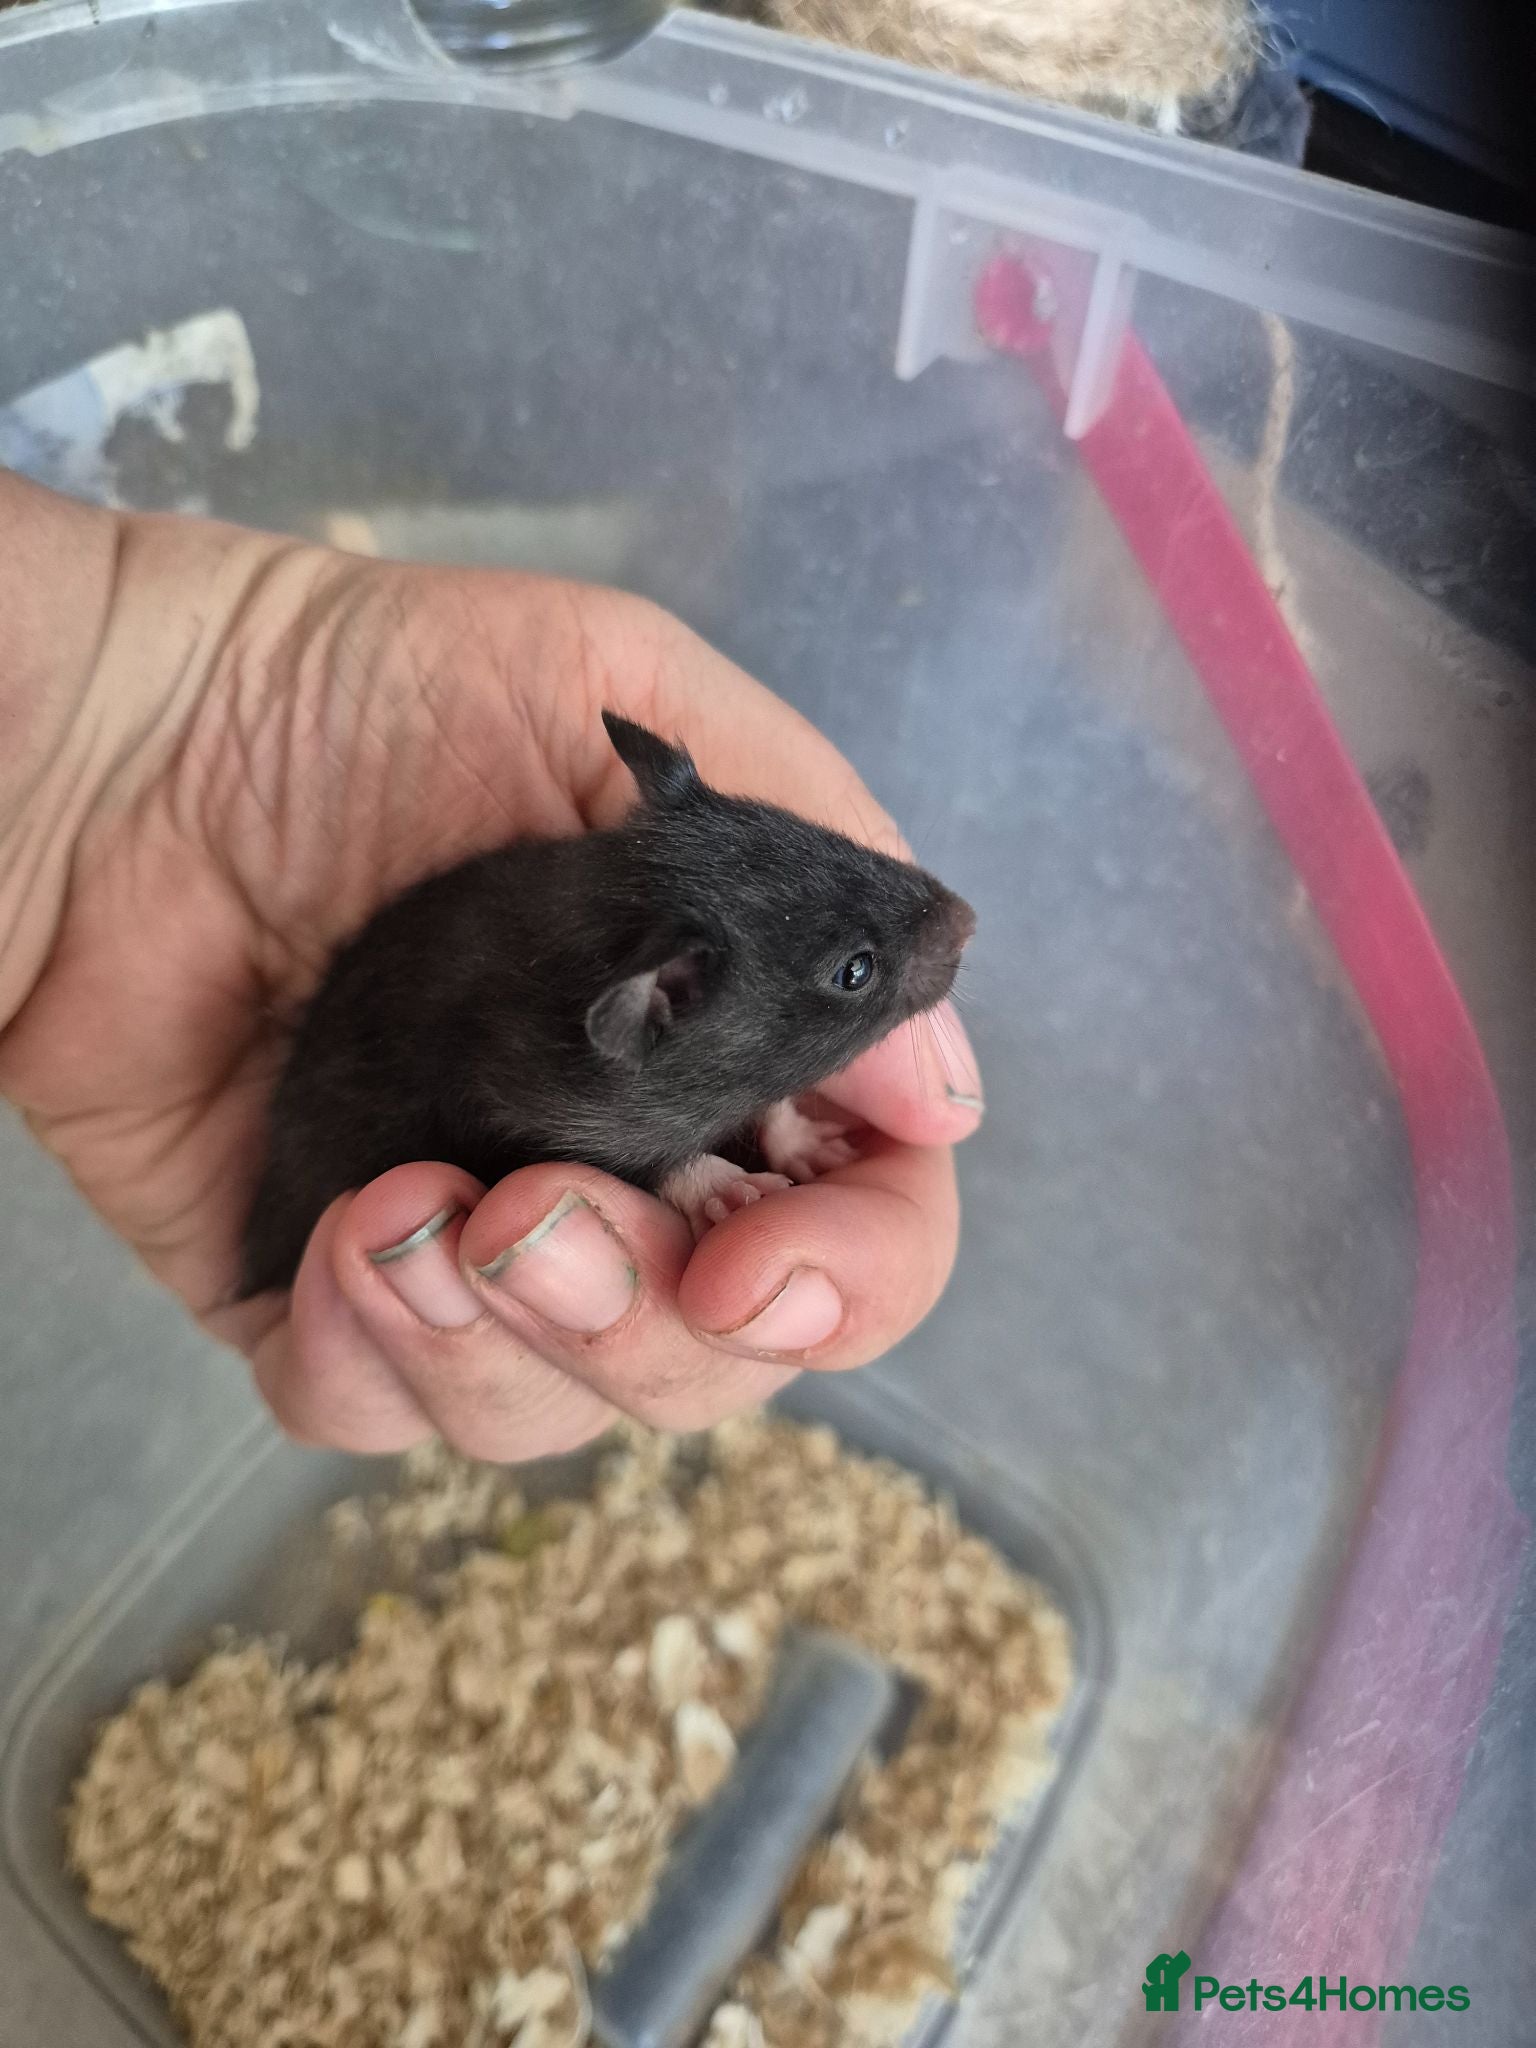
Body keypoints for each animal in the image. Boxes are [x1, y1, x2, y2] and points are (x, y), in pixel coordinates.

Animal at [239, 712, 975, 1297]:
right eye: (855, 971)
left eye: (820, 834)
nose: (969, 918)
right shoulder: (538, 1126)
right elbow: (652, 1162)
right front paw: (727, 1187)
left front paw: (805, 1140)